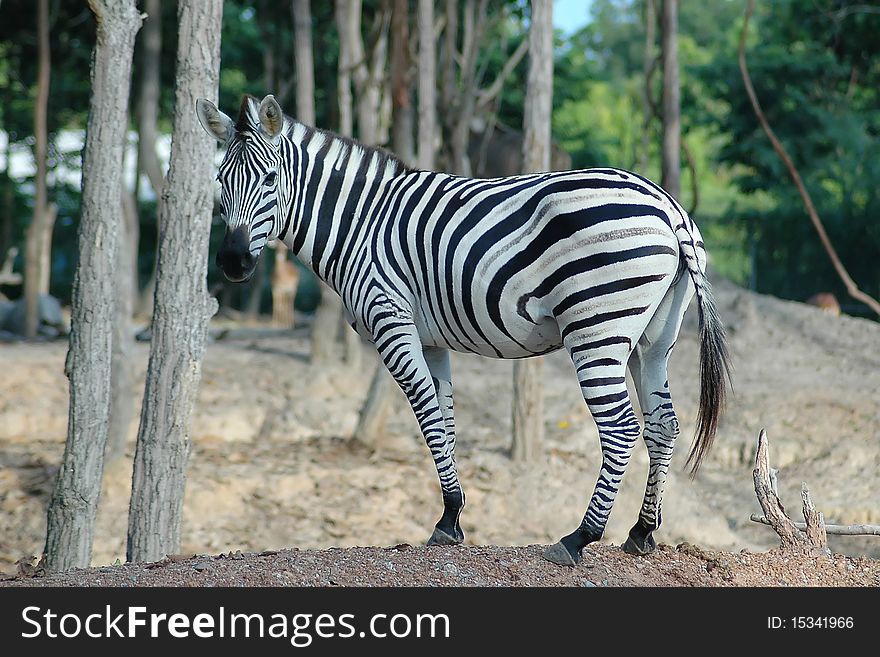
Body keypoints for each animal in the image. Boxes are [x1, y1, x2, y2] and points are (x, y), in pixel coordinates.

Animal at [196, 93, 732, 568]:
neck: (362, 223)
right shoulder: (431, 339)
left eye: (269, 179)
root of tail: (668, 206)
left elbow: (428, 417)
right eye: (220, 182)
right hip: (652, 341)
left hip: (595, 329)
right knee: (664, 424)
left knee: (621, 427)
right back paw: (642, 533)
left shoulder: (390, 319)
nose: (232, 262)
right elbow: (446, 419)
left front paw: (449, 519)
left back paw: (578, 538)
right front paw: (452, 516)